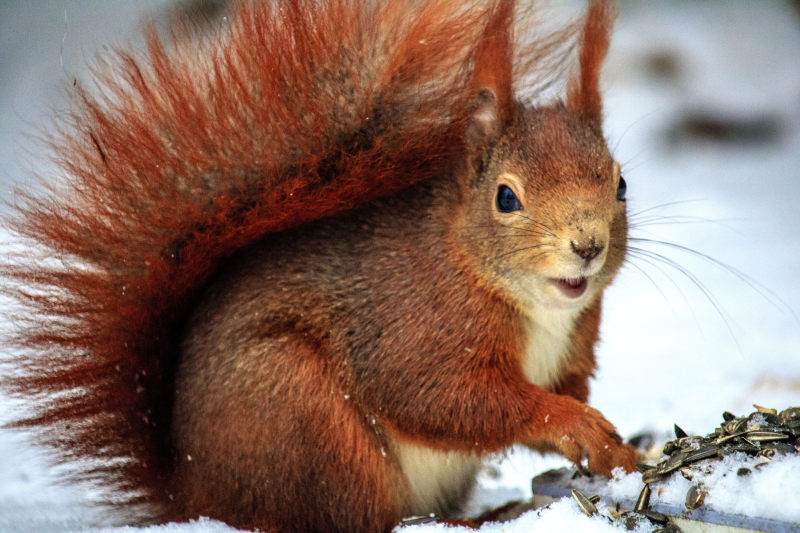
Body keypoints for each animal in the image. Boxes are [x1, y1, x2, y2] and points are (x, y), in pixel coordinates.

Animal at [1, 0, 636, 528]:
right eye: (506, 197)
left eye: (621, 184)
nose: (588, 245)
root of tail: (194, 493)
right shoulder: (415, 327)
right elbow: (443, 399)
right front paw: (572, 422)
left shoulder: (574, 347)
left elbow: (563, 391)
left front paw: (619, 450)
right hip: (305, 418)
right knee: (351, 518)